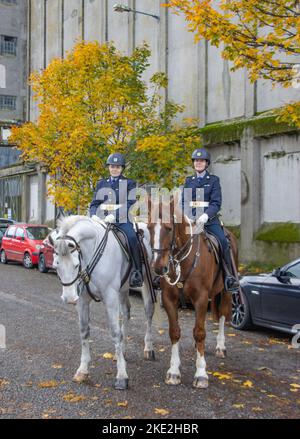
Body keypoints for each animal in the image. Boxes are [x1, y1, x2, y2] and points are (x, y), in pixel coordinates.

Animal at [52, 215, 155, 390]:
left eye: (76, 265)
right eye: (56, 264)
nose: (69, 298)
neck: (92, 251)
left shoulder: (110, 297)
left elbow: (115, 332)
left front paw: (121, 376)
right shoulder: (83, 300)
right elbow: (84, 331)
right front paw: (82, 371)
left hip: (148, 283)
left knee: (148, 312)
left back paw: (148, 349)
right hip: (123, 289)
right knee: (126, 313)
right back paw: (122, 352)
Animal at [148, 199, 239, 388]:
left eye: (169, 228)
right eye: (149, 227)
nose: (158, 268)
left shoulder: (201, 299)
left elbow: (200, 332)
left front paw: (201, 374)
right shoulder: (169, 299)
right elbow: (175, 332)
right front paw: (174, 371)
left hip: (226, 292)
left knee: (221, 316)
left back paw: (220, 347)